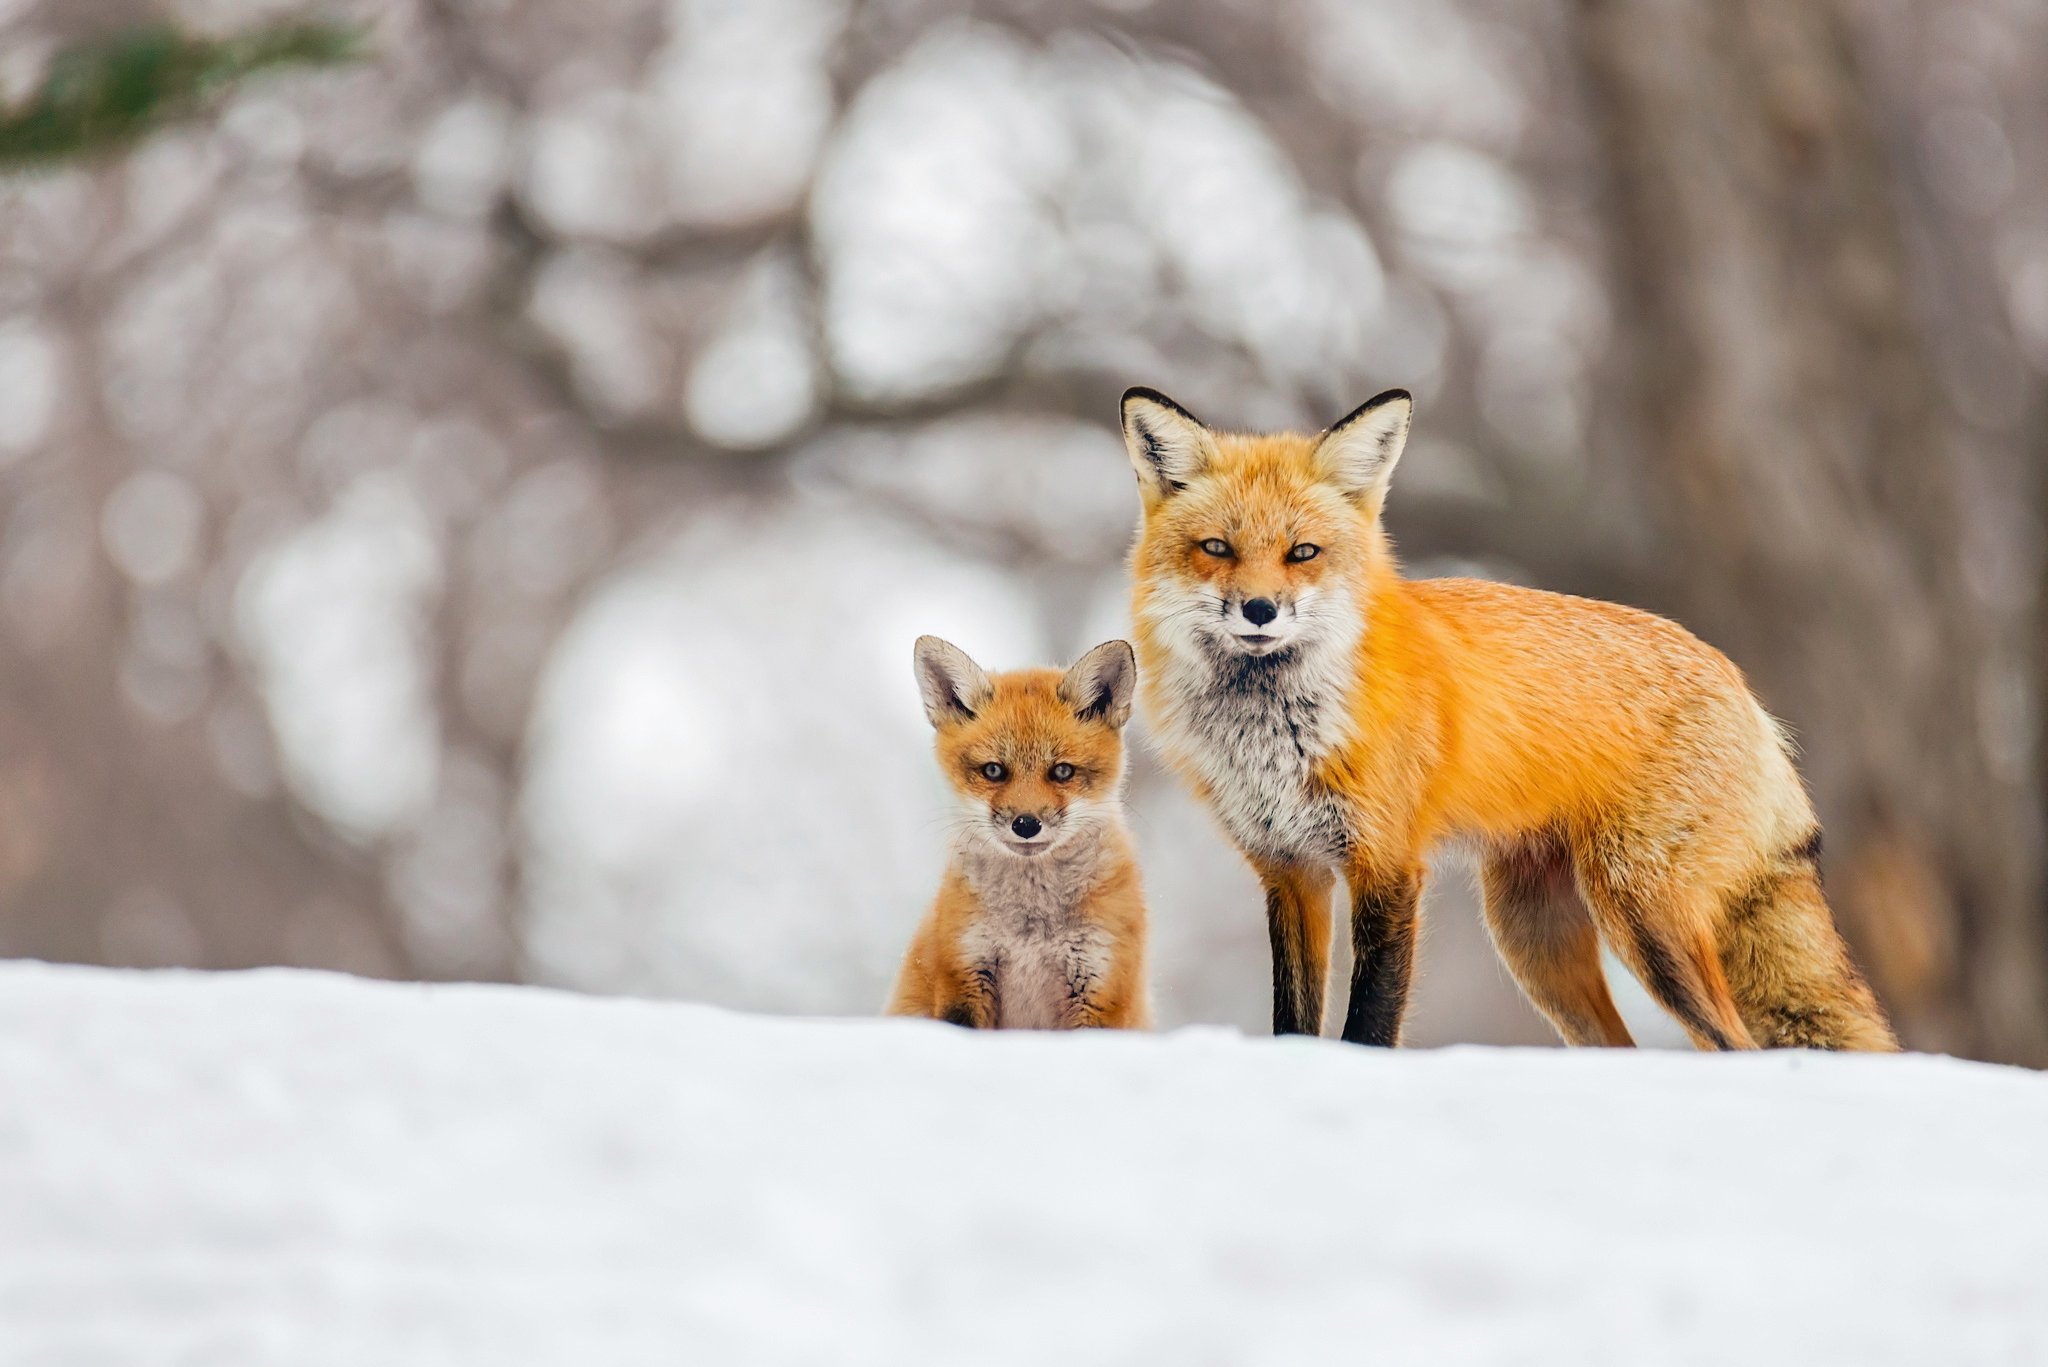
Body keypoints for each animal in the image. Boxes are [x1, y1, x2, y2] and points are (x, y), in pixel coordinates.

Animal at [888, 635, 1155, 1032]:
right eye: (994, 770)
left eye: (1062, 771)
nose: (1026, 824)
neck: (1030, 928)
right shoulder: (964, 975)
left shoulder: (1099, 987)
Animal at [1130, 389, 1892, 1057]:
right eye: (1217, 548)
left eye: (1303, 553)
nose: (1259, 609)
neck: (1274, 735)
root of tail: (1740, 684)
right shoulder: (1290, 870)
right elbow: (1293, 1023)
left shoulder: (1388, 864)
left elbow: (1369, 1025)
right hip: (1533, 939)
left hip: (1641, 914)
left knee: (1732, 1045)